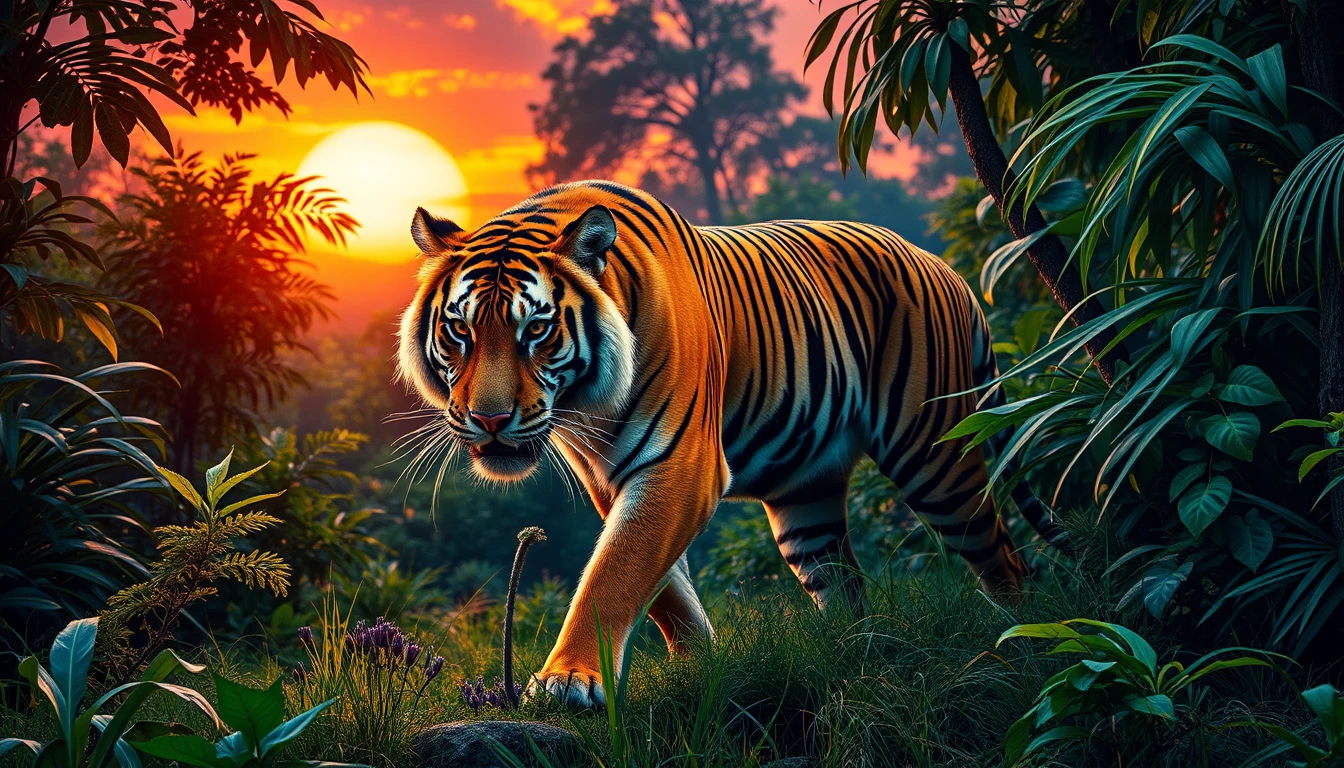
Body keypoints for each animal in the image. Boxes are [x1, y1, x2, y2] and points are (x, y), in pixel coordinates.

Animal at [397, 179, 1056, 708]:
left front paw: (568, 681)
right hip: (807, 502)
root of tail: (948, 269)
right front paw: (701, 666)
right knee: (845, 585)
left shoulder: (680, 466)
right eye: (459, 330)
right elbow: (662, 586)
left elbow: (615, 570)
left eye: (535, 329)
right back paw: (854, 664)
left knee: (1006, 558)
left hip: (936, 459)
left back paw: (1021, 645)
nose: (489, 420)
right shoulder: (607, 478)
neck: (585, 409)